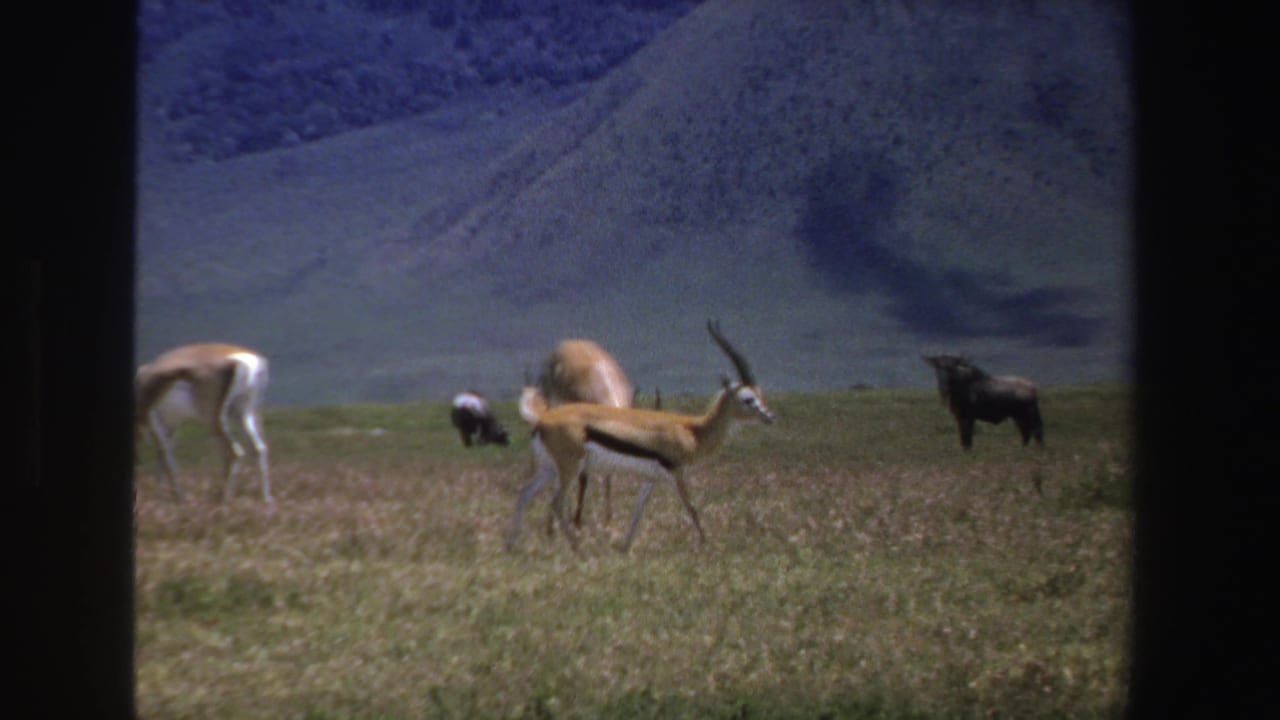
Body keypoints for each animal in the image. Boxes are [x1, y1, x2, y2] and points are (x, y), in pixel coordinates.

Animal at [135, 343, 272, 505]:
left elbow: (166, 458)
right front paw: (161, 499)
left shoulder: (152, 421)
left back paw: (223, 500)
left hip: (214, 420)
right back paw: (266, 500)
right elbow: (162, 459)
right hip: (242, 414)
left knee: (234, 452)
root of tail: (243, 360)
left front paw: (178, 500)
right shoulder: (170, 426)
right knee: (258, 449)